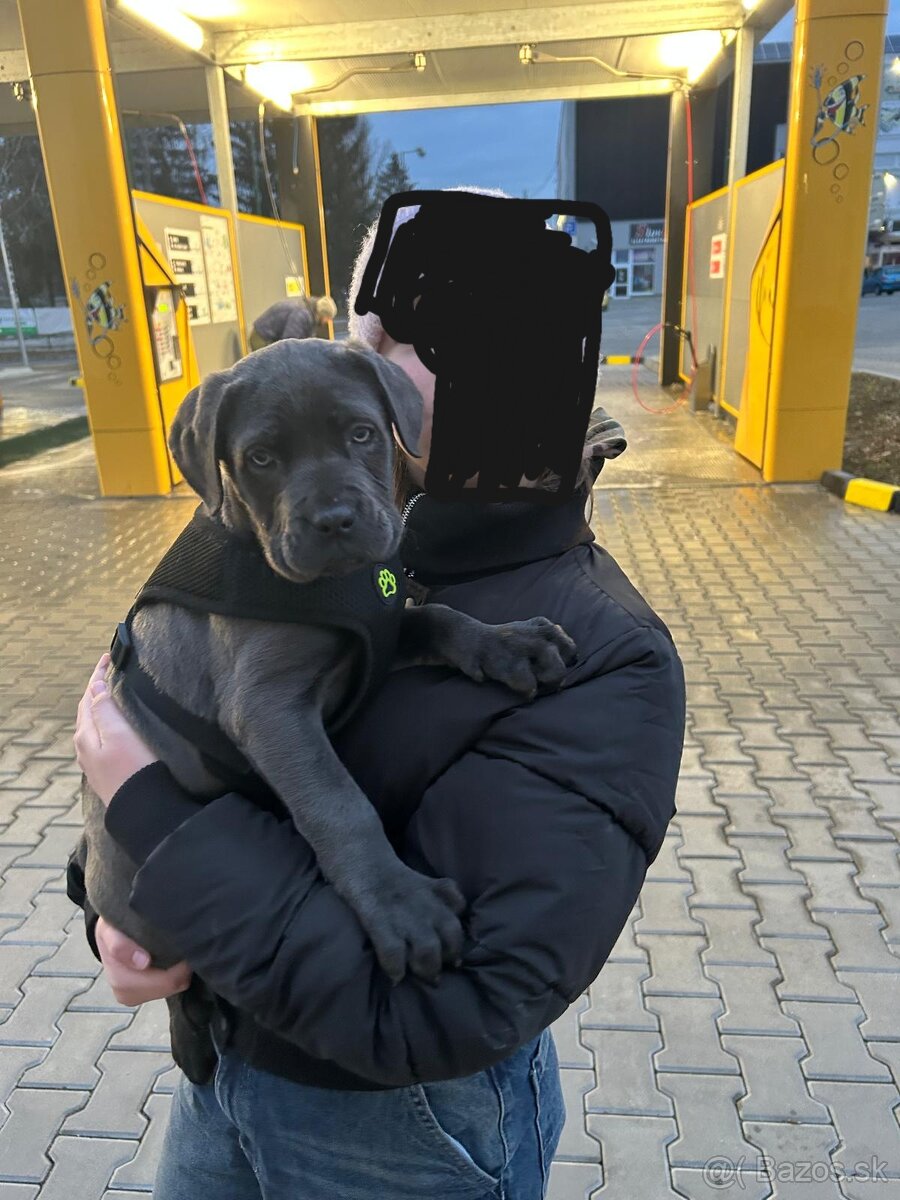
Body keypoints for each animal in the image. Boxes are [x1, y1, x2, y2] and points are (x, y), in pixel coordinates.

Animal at [74, 333, 573, 1084]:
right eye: (261, 458)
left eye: (362, 434)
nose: (335, 521)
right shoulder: (267, 705)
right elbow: (338, 804)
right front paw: (400, 905)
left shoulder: (386, 631)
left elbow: (442, 618)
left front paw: (509, 644)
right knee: (182, 989)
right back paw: (194, 1040)